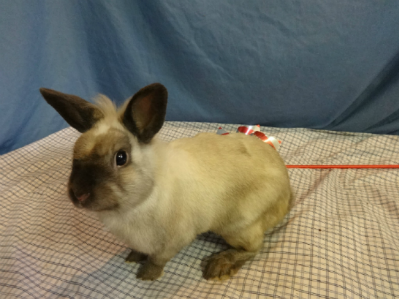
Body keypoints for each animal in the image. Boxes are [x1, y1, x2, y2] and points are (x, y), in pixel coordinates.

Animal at [39, 83, 292, 282]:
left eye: (121, 158)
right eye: (74, 156)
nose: (79, 195)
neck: (141, 200)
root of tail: (287, 192)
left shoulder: (174, 240)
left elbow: (158, 260)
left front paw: (146, 276)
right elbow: (141, 251)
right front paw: (133, 257)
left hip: (239, 226)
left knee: (254, 248)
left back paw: (218, 266)